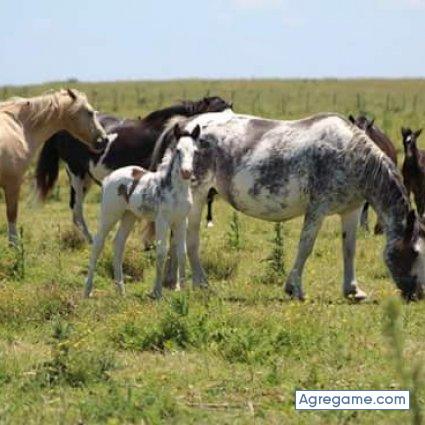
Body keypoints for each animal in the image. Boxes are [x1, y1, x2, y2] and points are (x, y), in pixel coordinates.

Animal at [0, 88, 107, 243]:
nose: (104, 140)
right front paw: (14, 245)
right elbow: (12, 215)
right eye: (89, 112)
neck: (18, 127)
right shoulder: (12, 183)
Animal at [84, 123, 204, 298]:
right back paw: (87, 290)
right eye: (178, 150)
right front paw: (157, 291)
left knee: (118, 244)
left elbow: (182, 252)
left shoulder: (181, 221)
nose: (186, 172)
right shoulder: (162, 221)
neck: (176, 190)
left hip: (129, 216)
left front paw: (182, 290)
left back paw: (121, 290)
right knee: (97, 244)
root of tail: (109, 178)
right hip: (109, 215)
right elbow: (162, 251)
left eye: (195, 151)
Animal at [151, 109, 424, 302]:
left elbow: (349, 249)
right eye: (415, 252)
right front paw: (295, 289)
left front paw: (352, 290)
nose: (418, 294)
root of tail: (186, 125)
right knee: (189, 239)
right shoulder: (317, 209)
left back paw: (171, 282)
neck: (350, 154)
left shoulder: (352, 211)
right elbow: (305, 246)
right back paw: (201, 283)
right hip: (197, 197)